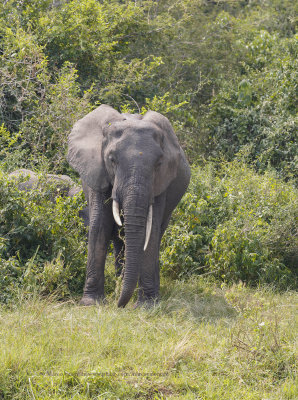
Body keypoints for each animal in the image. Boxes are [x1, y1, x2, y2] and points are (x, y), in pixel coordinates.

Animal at [67, 103, 190, 306]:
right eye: (112, 160)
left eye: (158, 163)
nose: (120, 305)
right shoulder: (97, 173)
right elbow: (100, 225)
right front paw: (91, 303)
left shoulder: (160, 183)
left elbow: (151, 231)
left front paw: (147, 305)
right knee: (119, 238)